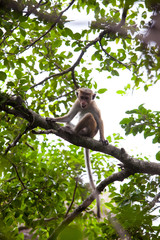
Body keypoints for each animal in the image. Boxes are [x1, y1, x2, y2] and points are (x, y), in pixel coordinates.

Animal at [47, 87, 108, 218]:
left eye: (87, 97)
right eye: (81, 97)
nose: (83, 102)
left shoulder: (94, 105)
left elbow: (100, 120)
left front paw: (102, 139)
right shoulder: (76, 103)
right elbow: (69, 117)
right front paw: (54, 118)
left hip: (90, 130)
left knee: (89, 116)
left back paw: (74, 131)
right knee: (69, 122)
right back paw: (69, 128)